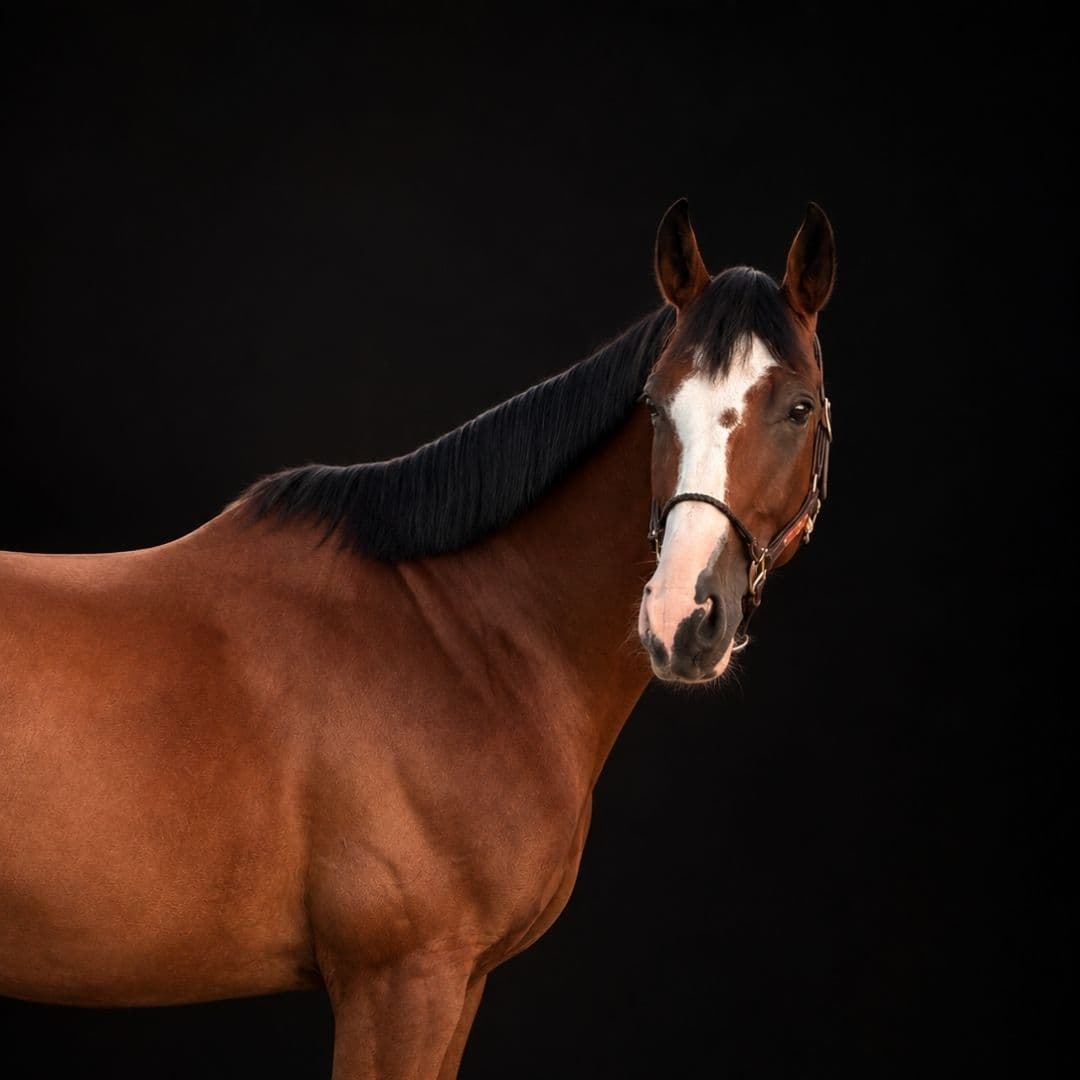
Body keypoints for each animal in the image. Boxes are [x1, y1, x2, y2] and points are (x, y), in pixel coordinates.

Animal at [0, 199, 835, 1078]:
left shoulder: (457, 984)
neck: (462, 642)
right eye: (654, 404)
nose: (681, 616)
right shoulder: (402, 983)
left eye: (800, 407)